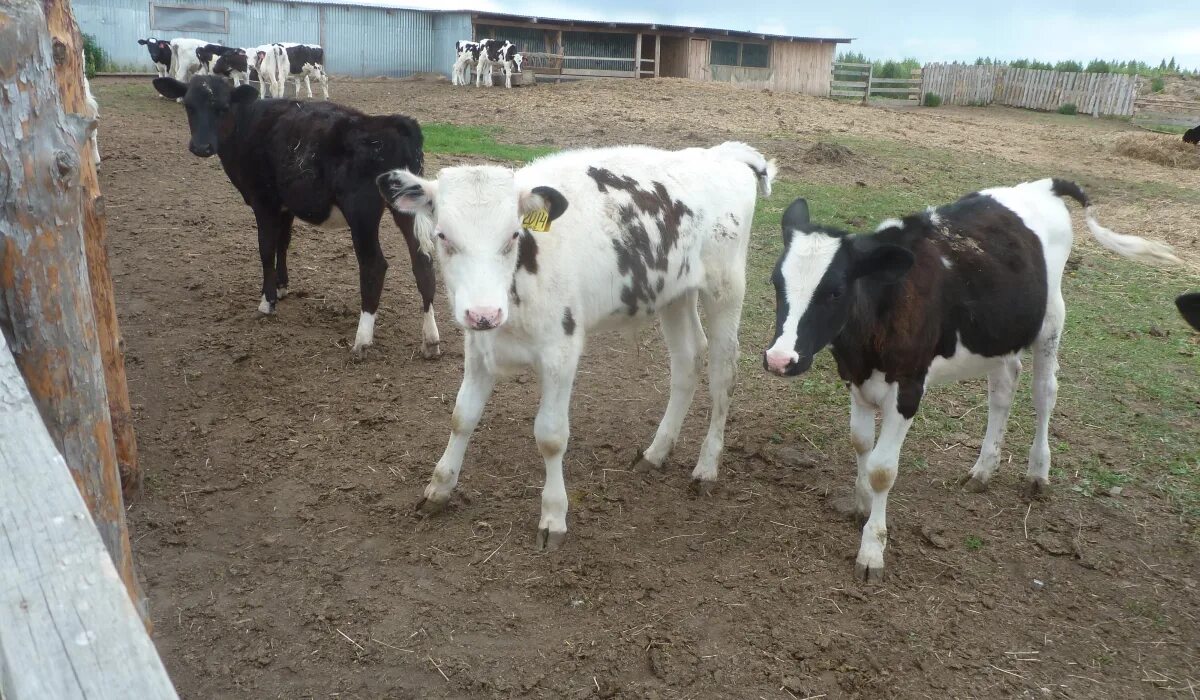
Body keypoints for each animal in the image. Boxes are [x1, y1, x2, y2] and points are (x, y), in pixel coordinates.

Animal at [154, 75, 441, 357]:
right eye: (189, 106)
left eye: (222, 108)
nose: (201, 147)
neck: (247, 124)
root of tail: (393, 122)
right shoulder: (285, 205)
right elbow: (283, 243)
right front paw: (281, 287)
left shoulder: (264, 201)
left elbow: (266, 248)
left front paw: (267, 301)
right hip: (406, 209)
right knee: (423, 261)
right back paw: (430, 339)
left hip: (361, 212)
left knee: (374, 265)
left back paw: (362, 340)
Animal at [379, 141, 777, 547]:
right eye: (443, 235)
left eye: (513, 235)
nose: (484, 312)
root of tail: (724, 153)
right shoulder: (479, 347)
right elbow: (462, 417)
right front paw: (439, 489)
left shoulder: (561, 351)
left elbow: (551, 436)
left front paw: (553, 516)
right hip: (674, 294)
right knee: (687, 360)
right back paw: (656, 452)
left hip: (725, 289)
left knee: (723, 374)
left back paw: (707, 467)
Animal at [763, 178, 1176, 581]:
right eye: (775, 283)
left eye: (835, 291)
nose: (780, 359)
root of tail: (1044, 184)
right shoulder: (854, 377)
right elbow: (861, 442)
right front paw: (862, 504)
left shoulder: (909, 387)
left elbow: (883, 469)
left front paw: (872, 549)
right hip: (1000, 335)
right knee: (1003, 390)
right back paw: (983, 469)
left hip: (1050, 321)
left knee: (1044, 394)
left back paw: (1037, 473)